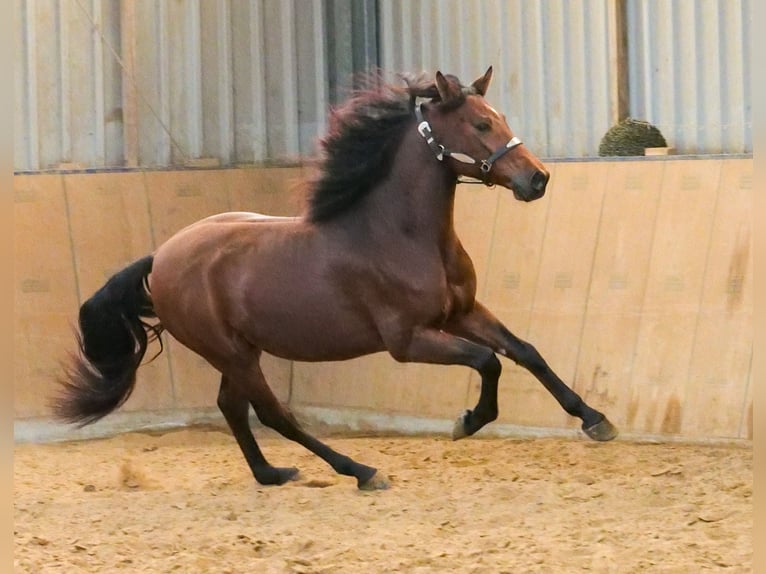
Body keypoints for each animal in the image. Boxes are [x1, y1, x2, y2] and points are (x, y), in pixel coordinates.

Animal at [52, 66, 616, 490]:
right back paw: (360, 471)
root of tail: (161, 256)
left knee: (232, 407)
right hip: (230, 352)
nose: (537, 178)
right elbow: (487, 362)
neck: (400, 235)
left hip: (241, 350)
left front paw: (595, 420)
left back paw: (272, 474)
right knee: (274, 414)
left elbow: (525, 352)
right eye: (479, 124)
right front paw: (467, 422)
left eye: (499, 117)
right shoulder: (408, 340)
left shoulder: (463, 312)